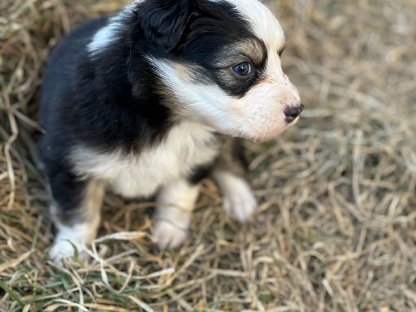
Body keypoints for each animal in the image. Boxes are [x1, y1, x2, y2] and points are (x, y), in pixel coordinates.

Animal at [39, 0, 304, 264]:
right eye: (242, 68)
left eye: (280, 58)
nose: (297, 109)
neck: (171, 121)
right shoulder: (71, 160)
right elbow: (79, 211)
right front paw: (70, 251)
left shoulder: (197, 157)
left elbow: (178, 196)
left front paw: (169, 231)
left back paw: (241, 202)